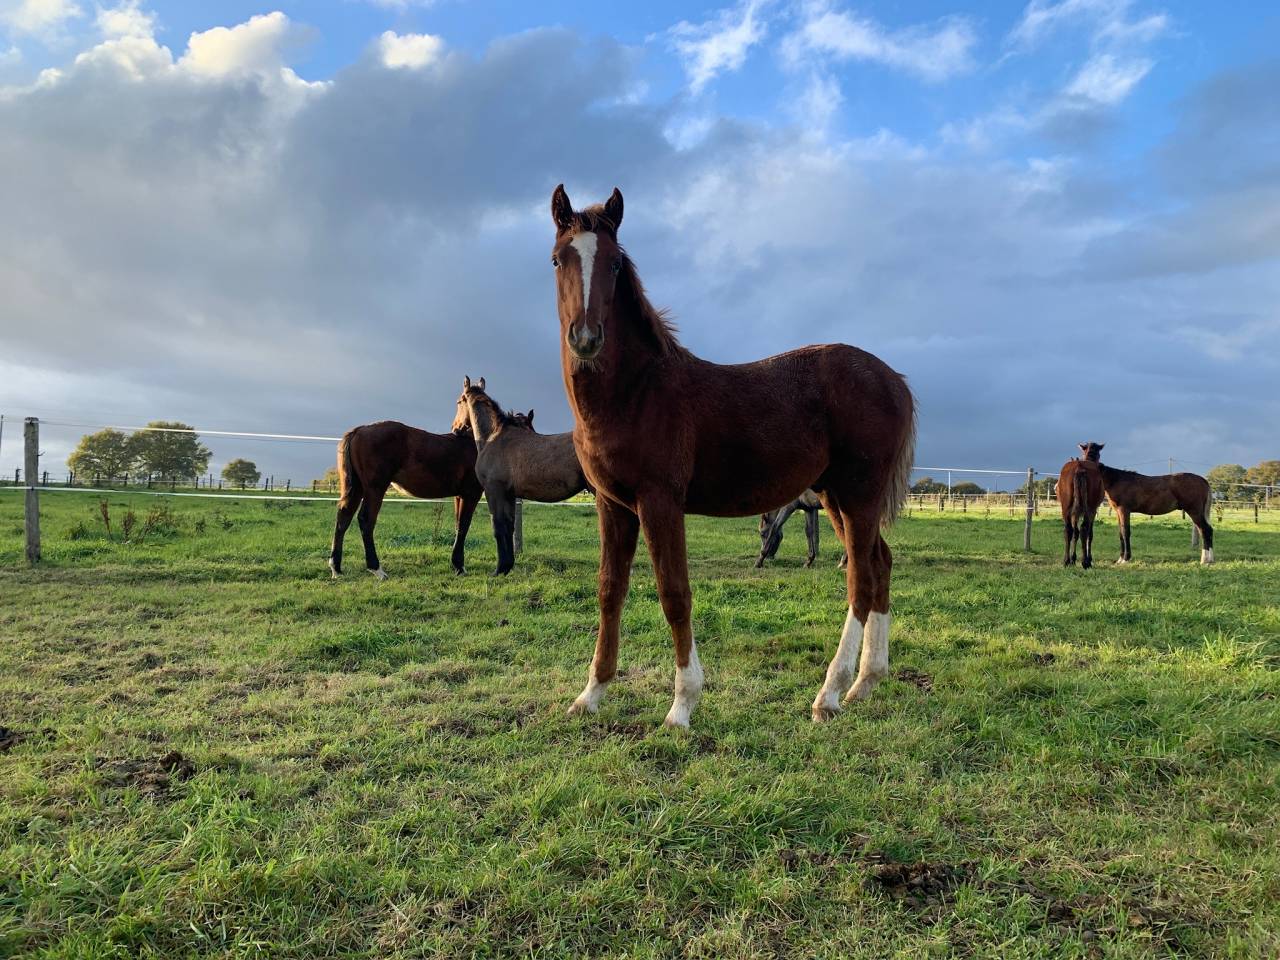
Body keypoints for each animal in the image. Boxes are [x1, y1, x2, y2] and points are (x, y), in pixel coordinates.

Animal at [328, 405, 482, 580]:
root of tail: (359, 430)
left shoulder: (460, 495)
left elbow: (458, 526)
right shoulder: (471, 494)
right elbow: (464, 526)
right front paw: (460, 567)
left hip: (357, 488)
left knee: (344, 517)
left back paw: (336, 568)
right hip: (375, 488)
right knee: (366, 520)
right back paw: (377, 569)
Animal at [458, 376, 591, 575]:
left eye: (459, 402)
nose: (456, 428)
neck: (493, 437)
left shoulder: (493, 491)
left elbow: (497, 526)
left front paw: (498, 570)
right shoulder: (509, 494)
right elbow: (509, 526)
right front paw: (506, 567)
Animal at [549, 185, 916, 727]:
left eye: (614, 264)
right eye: (558, 259)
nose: (586, 339)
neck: (636, 393)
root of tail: (895, 380)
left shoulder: (660, 501)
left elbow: (674, 593)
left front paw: (682, 705)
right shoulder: (611, 504)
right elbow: (609, 590)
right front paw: (591, 694)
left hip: (859, 495)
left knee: (862, 579)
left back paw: (829, 693)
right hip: (836, 497)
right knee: (881, 564)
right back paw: (866, 682)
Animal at [1080, 442, 1215, 564]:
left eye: (1096, 453)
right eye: (1084, 452)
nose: (1088, 467)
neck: (1116, 480)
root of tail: (1203, 480)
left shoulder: (1124, 510)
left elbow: (1126, 532)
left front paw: (1125, 559)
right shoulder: (1118, 512)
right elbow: (1120, 533)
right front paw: (1120, 558)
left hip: (1194, 511)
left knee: (1205, 530)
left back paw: (1205, 560)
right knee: (1208, 530)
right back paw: (1210, 559)